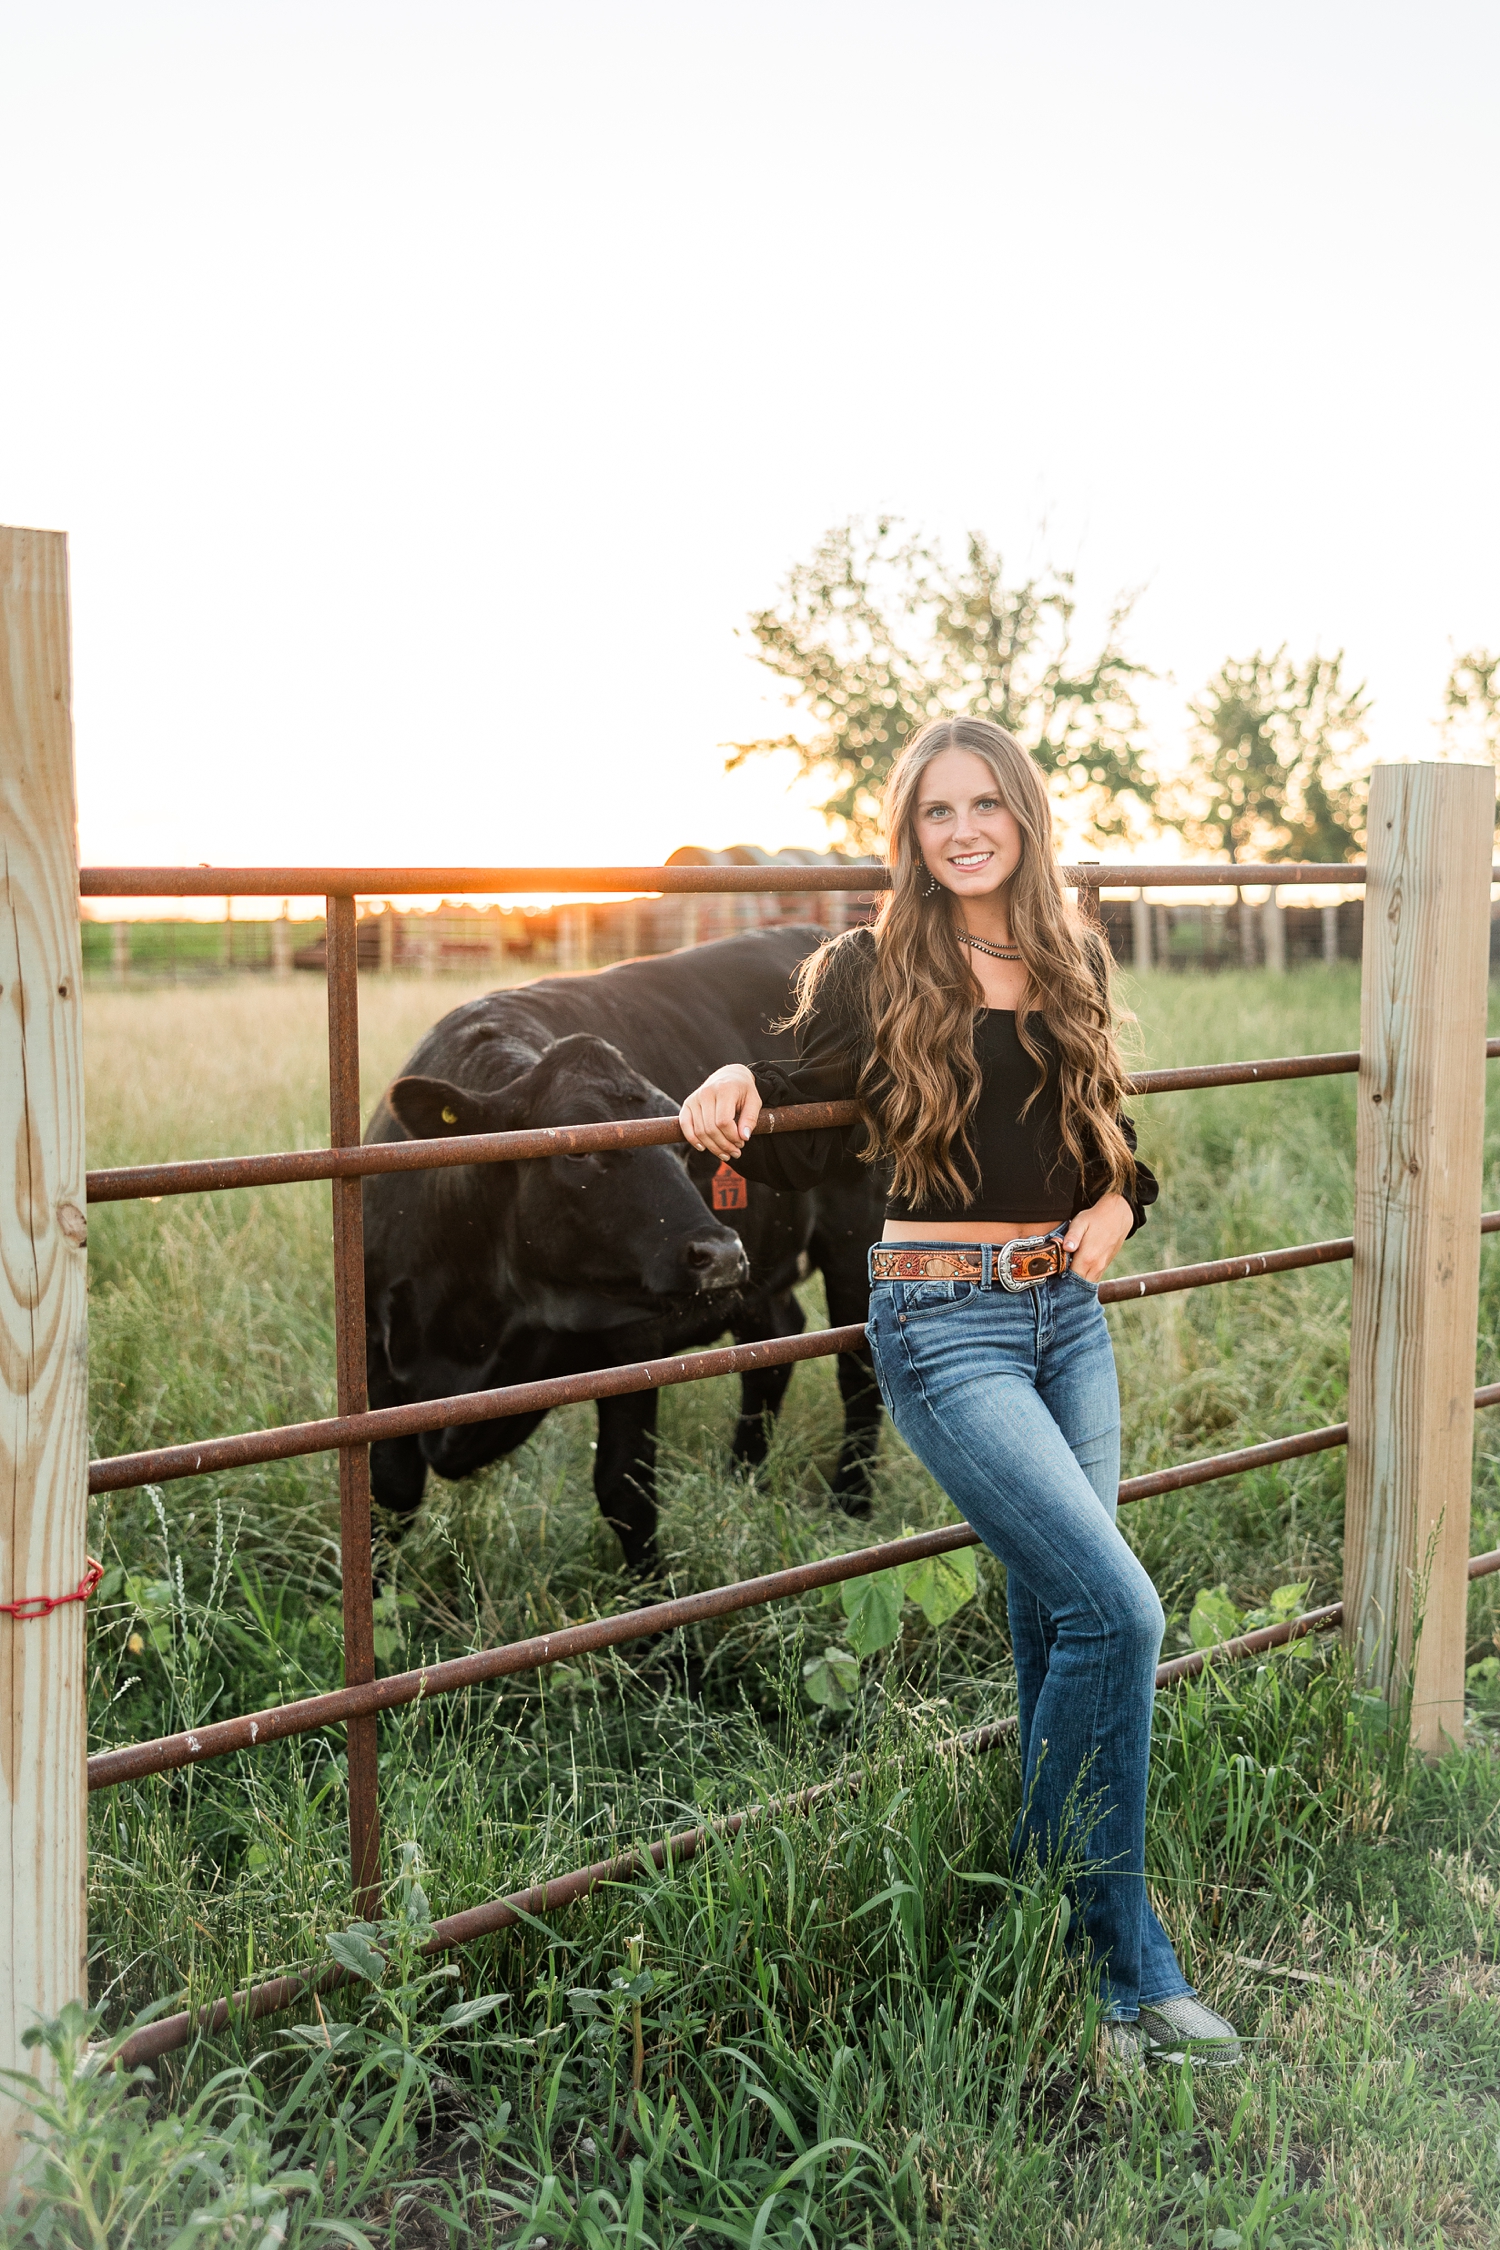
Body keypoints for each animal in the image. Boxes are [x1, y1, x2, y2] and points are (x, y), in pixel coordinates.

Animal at [362, 922, 886, 1575]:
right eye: (578, 1149)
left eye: (682, 1144)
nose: (718, 1253)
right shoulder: (376, 1356)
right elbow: (391, 1493)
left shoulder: (631, 1344)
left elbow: (625, 1488)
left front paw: (655, 1600)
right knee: (773, 1351)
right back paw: (741, 1481)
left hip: (857, 1237)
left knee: (858, 1374)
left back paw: (850, 1504)